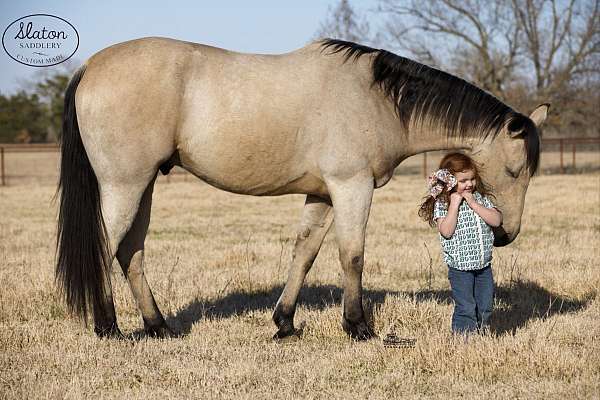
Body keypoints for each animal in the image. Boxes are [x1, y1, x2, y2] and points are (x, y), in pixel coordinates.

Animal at [56, 37, 548, 340]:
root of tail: (90, 66)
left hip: (143, 187)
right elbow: (352, 255)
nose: (505, 234)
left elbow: (305, 253)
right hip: (125, 185)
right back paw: (109, 328)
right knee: (106, 246)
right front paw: (358, 327)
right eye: (514, 170)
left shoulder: (323, 194)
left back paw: (158, 327)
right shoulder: (352, 187)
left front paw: (285, 323)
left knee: (131, 252)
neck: (376, 98)